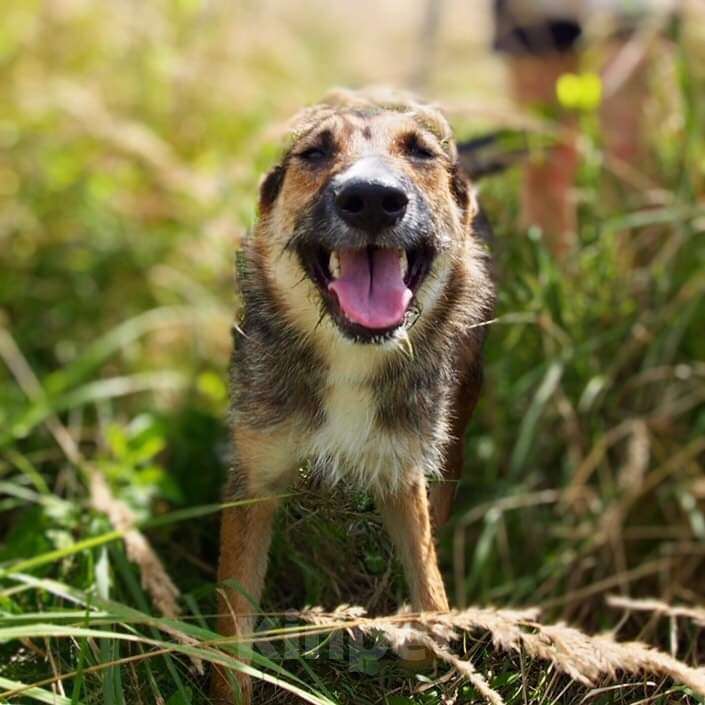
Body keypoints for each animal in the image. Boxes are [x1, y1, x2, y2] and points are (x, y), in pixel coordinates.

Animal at [213, 91, 496, 700]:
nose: (371, 199)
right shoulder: (255, 474)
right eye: (315, 152)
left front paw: (416, 638)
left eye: (421, 152)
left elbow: (434, 591)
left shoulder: (405, 469)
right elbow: (231, 626)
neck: (352, 359)